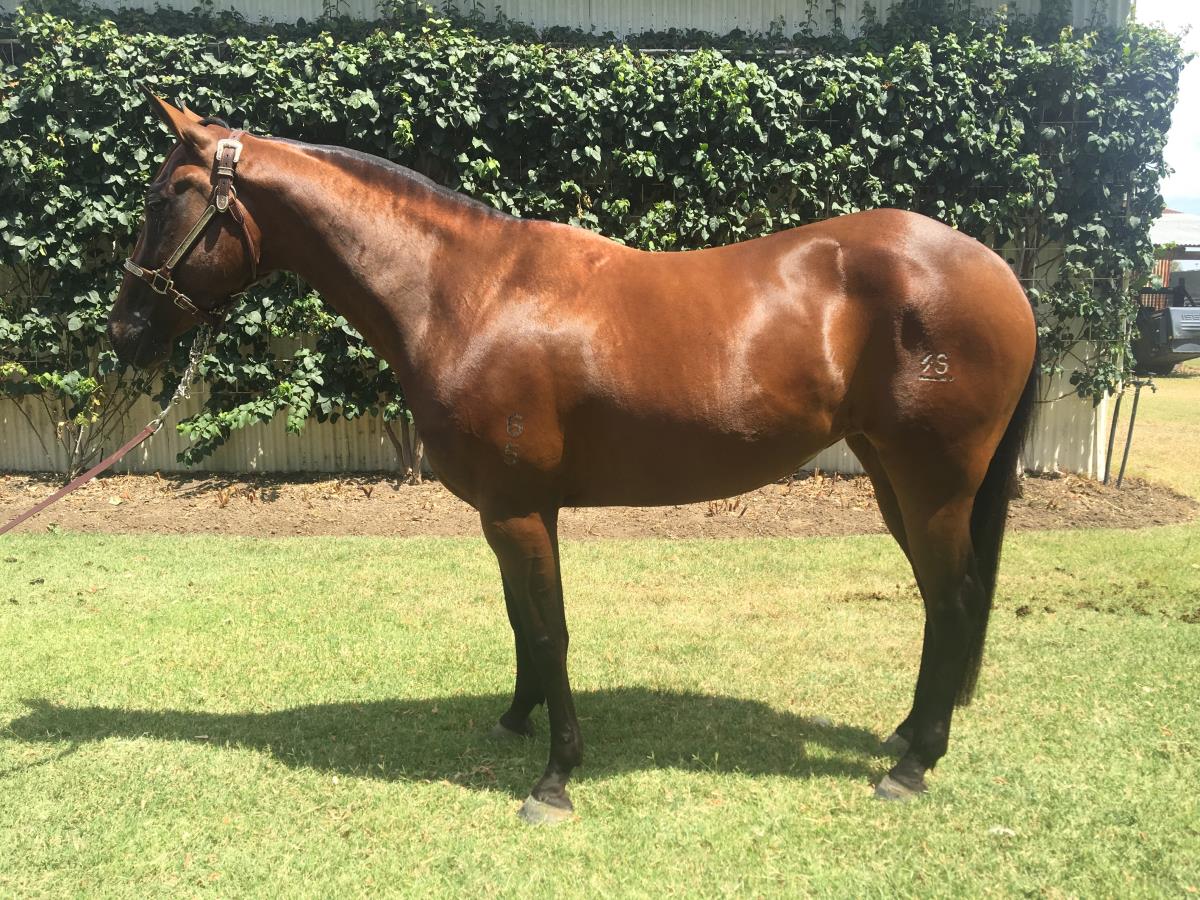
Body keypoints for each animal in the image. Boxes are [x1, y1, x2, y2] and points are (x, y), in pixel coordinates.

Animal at [107, 89, 1039, 824]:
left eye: (165, 199)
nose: (123, 331)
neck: (467, 294)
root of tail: (1000, 274)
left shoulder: (521, 509)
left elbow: (551, 630)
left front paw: (554, 779)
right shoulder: (505, 511)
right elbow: (522, 622)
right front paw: (514, 722)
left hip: (933, 483)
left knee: (954, 601)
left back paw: (913, 765)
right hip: (894, 479)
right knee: (941, 603)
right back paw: (910, 736)